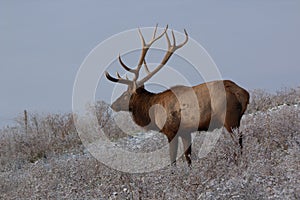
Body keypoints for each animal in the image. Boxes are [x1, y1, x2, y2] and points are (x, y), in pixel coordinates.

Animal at [105, 24, 248, 166]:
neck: (153, 110)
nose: (113, 105)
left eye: (125, 94)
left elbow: (172, 158)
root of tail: (243, 94)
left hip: (229, 118)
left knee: (238, 143)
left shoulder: (171, 130)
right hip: (236, 119)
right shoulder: (186, 132)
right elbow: (188, 156)